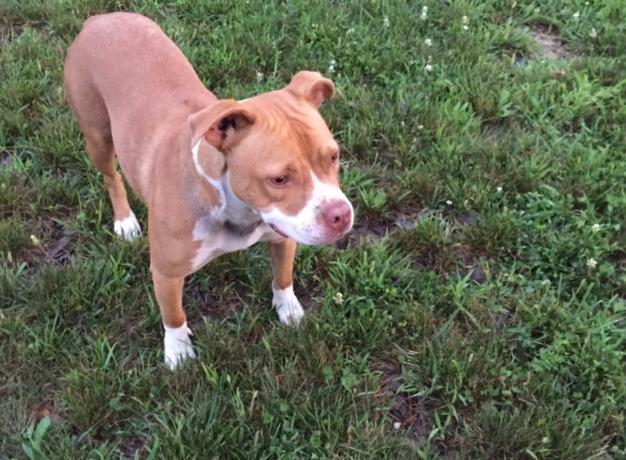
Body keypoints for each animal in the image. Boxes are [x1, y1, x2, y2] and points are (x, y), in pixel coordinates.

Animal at [65, 12, 354, 368]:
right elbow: (173, 315)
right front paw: (178, 351)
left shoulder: (283, 235)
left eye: (333, 156)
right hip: (97, 136)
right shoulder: (166, 272)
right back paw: (124, 220)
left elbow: (283, 277)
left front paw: (289, 310)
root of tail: (100, 18)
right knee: (110, 176)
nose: (340, 215)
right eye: (278, 179)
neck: (235, 207)